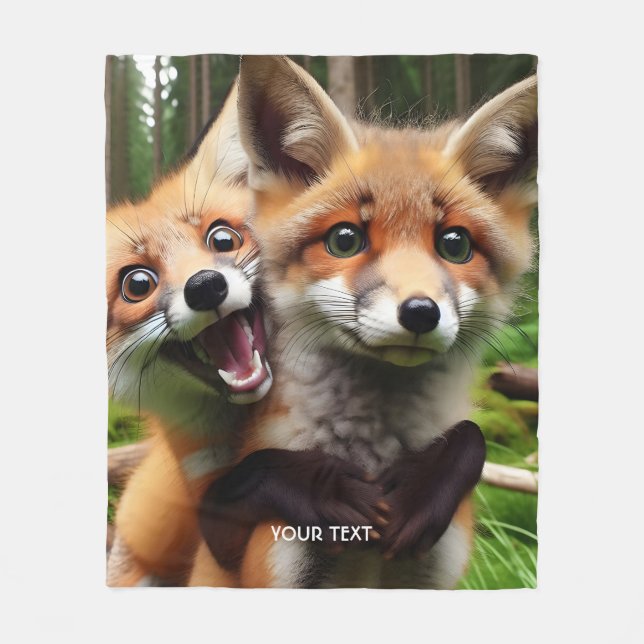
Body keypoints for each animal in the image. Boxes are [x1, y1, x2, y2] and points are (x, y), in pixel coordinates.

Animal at [193, 56, 538, 588]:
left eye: (455, 244)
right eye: (344, 239)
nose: (420, 312)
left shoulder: (436, 570)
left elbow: (469, 435)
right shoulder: (262, 555)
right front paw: (317, 486)